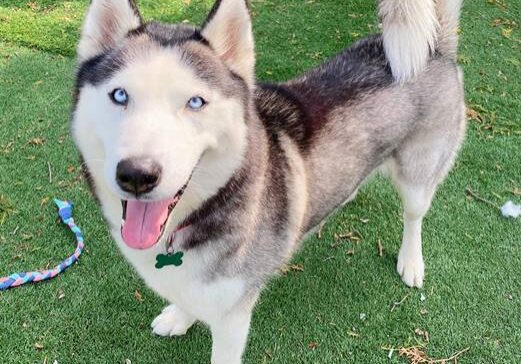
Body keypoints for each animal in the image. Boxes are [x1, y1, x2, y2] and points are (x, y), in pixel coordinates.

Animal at [71, 0, 466, 362]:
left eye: (195, 102)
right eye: (120, 95)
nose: (137, 175)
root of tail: (435, 46)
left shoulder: (233, 317)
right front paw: (180, 317)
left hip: (418, 177)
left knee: (414, 216)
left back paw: (411, 262)